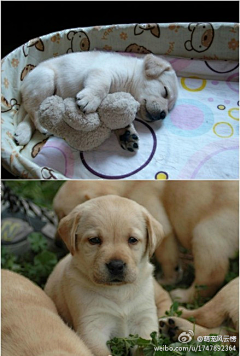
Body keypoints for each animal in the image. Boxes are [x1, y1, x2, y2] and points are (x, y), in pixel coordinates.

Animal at [14, 50, 177, 147]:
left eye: (170, 109)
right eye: (165, 92)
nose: (163, 114)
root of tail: (23, 84)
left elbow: (119, 118)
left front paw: (126, 134)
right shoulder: (103, 71)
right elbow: (102, 85)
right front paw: (89, 99)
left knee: (32, 111)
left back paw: (22, 132)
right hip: (45, 79)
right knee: (34, 110)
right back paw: (42, 127)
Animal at [44, 195, 166, 356]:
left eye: (132, 240)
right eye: (94, 240)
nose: (116, 265)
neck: (118, 291)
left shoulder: (145, 319)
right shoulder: (93, 326)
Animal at [53, 181, 239, 304]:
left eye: (63, 214)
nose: (56, 244)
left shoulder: (147, 200)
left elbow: (166, 253)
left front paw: (168, 278)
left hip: (209, 229)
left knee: (211, 271)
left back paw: (182, 295)